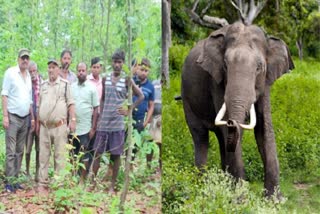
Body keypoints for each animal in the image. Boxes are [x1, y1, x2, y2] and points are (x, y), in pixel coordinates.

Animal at [181, 21, 294, 197]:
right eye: (225, 66)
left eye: (259, 67)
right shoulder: (216, 81)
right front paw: (240, 199)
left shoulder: (265, 83)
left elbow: (264, 128)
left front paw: (274, 200)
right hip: (186, 97)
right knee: (201, 136)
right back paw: (201, 188)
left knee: (221, 138)